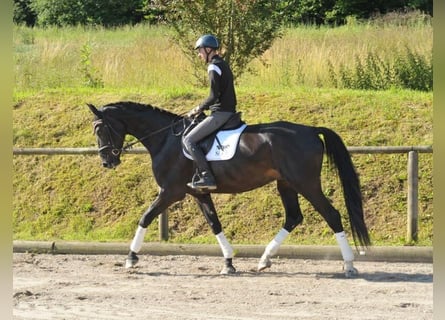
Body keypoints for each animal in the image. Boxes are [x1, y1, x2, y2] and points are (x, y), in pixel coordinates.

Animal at [88, 101, 370, 276]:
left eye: (100, 129)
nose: (107, 161)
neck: (166, 139)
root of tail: (311, 130)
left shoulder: (170, 192)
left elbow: (145, 217)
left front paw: (131, 258)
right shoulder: (199, 193)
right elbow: (215, 224)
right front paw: (228, 262)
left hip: (306, 183)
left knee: (332, 215)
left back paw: (349, 265)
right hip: (286, 184)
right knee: (293, 217)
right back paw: (264, 260)